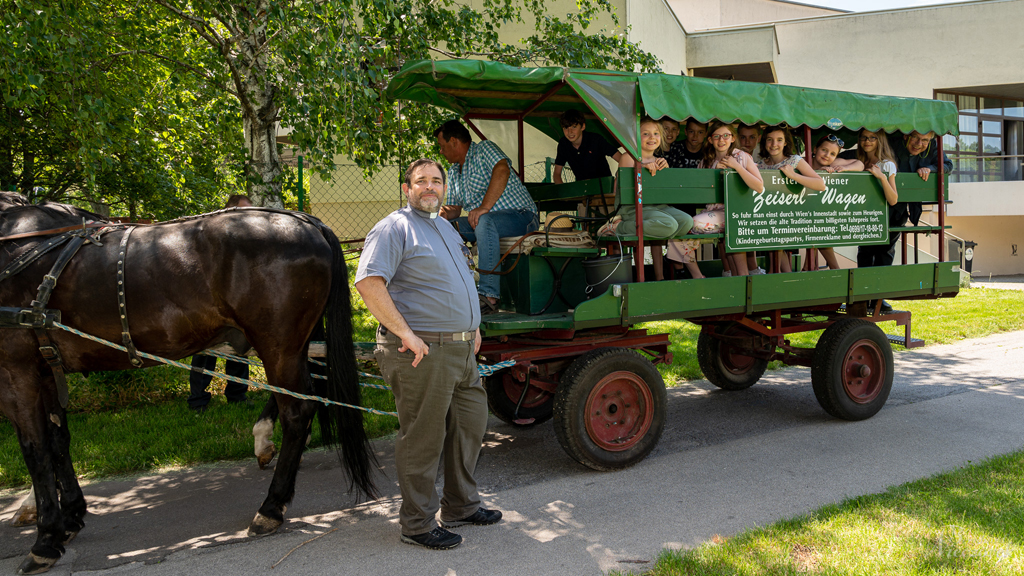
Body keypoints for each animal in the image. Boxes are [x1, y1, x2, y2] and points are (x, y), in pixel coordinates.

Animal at [0, 191, 376, 569]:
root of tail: (307, 220)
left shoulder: (16, 371)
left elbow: (35, 449)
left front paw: (46, 538)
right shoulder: (45, 368)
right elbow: (58, 441)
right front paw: (70, 516)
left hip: (278, 344)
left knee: (297, 411)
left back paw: (271, 506)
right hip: (294, 344)